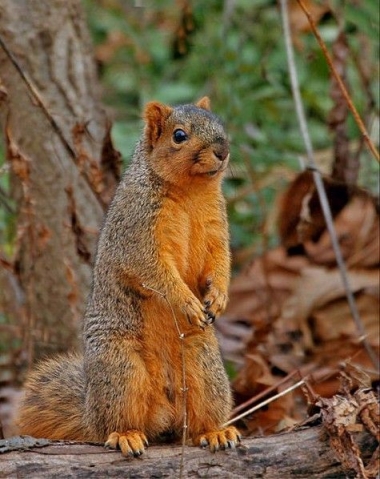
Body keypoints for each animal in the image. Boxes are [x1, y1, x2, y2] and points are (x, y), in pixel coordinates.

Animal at [17, 96, 240, 458]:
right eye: (179, 135)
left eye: (219, 122)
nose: (222, 150)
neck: (191, 192)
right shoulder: (137, 234)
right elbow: (155, 272)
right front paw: (187, 302)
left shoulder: (216, 230)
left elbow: (220, 263)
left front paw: (218, 298)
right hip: (122, 370)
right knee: (117, 422)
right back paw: (126, 435)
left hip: (205, 370)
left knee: (196, 421)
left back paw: (216, 432)